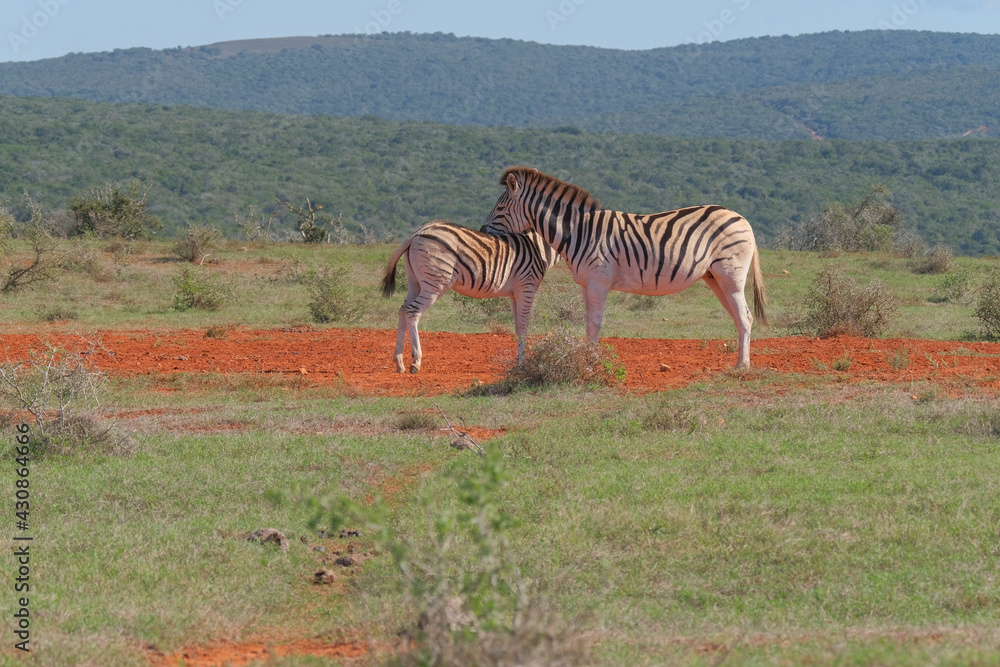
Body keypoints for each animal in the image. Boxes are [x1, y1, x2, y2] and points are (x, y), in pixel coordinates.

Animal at [380, 220, 559, 373]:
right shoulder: (526, 287)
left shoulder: (515, 293)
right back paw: (416, 361)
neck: (539, 247)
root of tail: (416, 234)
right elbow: (523, 326)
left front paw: (519, 360)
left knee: (402, 310)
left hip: (415, 282)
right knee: (412, 311)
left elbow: (517, 325)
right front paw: (522, 362)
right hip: (435, 283)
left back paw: (399, 363)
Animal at [481, 167, 768, 369]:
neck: (579, 231)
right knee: (739, 317)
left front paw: (592, 363)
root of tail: (741, 218)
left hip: (731, 275)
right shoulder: (586, 283)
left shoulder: (599, 281)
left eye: (500, 206)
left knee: (745, 316)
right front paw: (588, 358)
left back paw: (743, 366)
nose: (483, 231)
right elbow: (588, 324)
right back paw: (739, 361)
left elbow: (595, 323)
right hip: (714, 277)